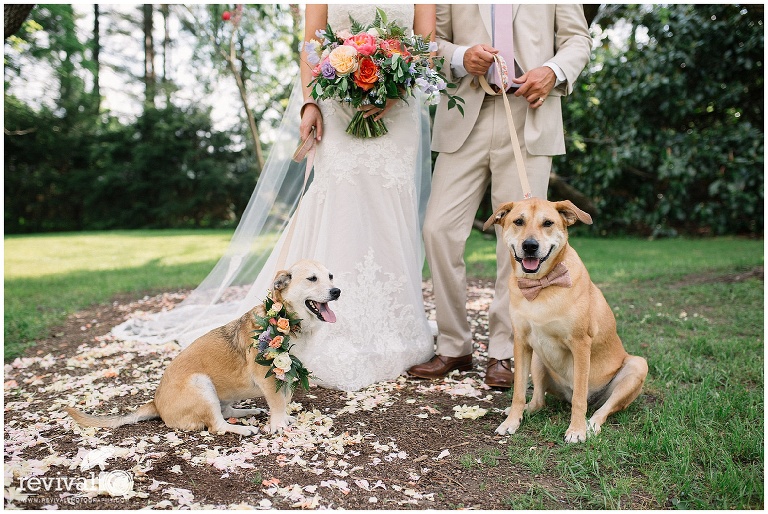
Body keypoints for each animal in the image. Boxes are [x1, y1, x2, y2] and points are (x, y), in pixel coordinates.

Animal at [67, 260, 340, 432]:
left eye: (330, 276)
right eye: (312, 279)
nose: (337, 291)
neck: (287, 321)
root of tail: (156, 403)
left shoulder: (288, 375)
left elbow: (284, 400)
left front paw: (284, 418)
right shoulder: (270, 378)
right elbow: (278, 403)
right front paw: (279, 424)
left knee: (226, 411)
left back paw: (248, 412)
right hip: (201, 384)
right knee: (216, 426)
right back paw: (241, 430)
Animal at [486, 196, 648, 440]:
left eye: (548, 223)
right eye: (518, 221)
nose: (530, 246)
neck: (540, 286)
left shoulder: (580, 344)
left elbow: (580, 397)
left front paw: (577, 430)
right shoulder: (522, 343)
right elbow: (519, 392)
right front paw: (512, 421)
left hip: (637, 366)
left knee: (601, 408)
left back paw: (591, 424)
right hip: (538, 358)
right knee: (539, 401)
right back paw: (526, 410)